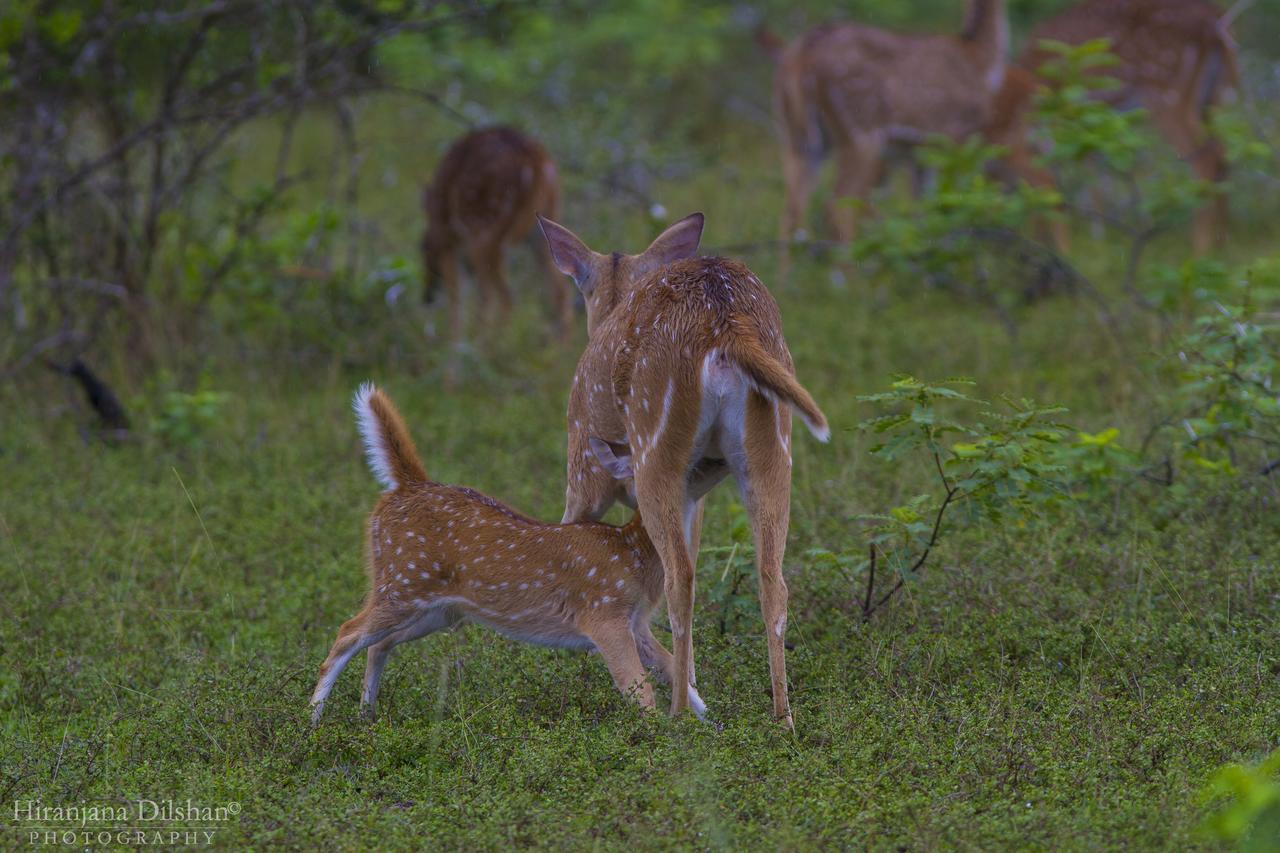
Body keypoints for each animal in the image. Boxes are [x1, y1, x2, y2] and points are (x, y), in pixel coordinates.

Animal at [311, 381, 711, 722]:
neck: (632, 555)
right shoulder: (603, 614)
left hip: (438, 609)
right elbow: (639, 691)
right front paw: (659, 737)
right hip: (401, 581)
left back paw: (366, 716)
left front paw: (710, 728)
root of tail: (406, 487)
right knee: (347, 632)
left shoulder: (636, 624)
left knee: (379, 644)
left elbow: (677, 672)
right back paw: (312, 723)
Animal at [422, 125, 573, 356]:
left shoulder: (450, 243)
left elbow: (456, 300)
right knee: (560, 292)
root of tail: (539, 163)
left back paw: (488, 350)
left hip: (487, 226)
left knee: (499, 296)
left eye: (422, 248)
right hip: (546, 221)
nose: (427, 297)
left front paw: (454, 354)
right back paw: (559, 353)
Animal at [537, 212, 829, 722]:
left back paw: (677, 715)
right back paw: (781, 718)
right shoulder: (698, 494)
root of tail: (726, 327)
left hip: (656, 447)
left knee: (681, 579)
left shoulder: (583, 471)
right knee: (771, 578)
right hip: (773, 446)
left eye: (583, 287)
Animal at [757, 0, 1008, 272]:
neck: (982, 60)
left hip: (796, 134)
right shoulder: (954, 137)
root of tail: (798, 57)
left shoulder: (914, 153)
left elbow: (921, 213)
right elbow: (945, 208)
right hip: (860, 132)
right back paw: (847, 279)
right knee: (836, 206)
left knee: (791, 210)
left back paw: (787, 278)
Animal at [988, 0, 1239, 252]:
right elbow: (1092, 172)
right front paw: (1098, 238)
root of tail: (1216, 24)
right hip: (1212, 96)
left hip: (1166, 93)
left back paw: (1200, 247)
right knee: (1223, 152)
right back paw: (1224, 243)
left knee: (1206, 158)